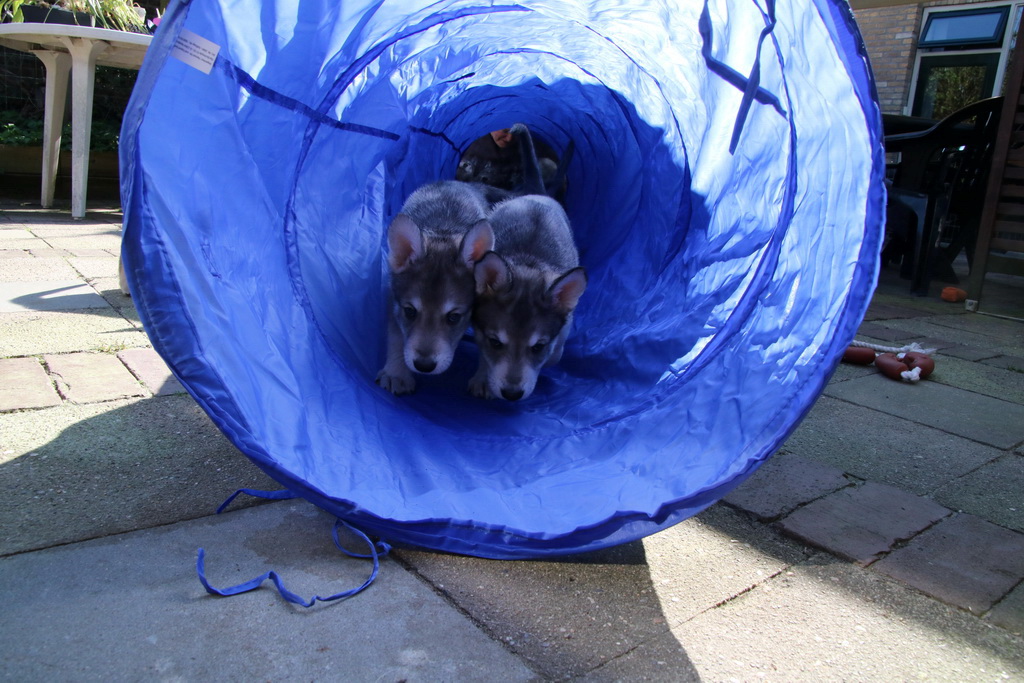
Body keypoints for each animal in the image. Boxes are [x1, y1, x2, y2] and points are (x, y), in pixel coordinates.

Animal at [376, 180, 495, 395]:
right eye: (410, 311)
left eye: (454, 317)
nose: (424, 365)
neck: (443, 232)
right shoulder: (393, 302)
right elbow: (396, 337)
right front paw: (396, 373)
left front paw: (485, 379)